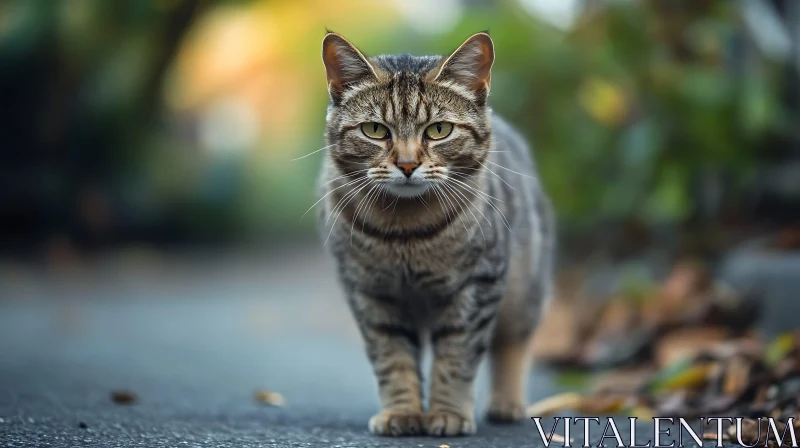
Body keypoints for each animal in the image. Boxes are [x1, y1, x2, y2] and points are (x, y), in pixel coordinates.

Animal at [316, 31, 552, 438]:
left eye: (439, 130)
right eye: (375, 130)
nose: (408, 164)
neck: (405, 231)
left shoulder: (476, 287)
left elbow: (457, 358)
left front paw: (448, 413)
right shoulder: (370, 293)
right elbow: (392, 358)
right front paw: (402, 412)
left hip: (525, 290)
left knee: (513, 344)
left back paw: (507, 404)